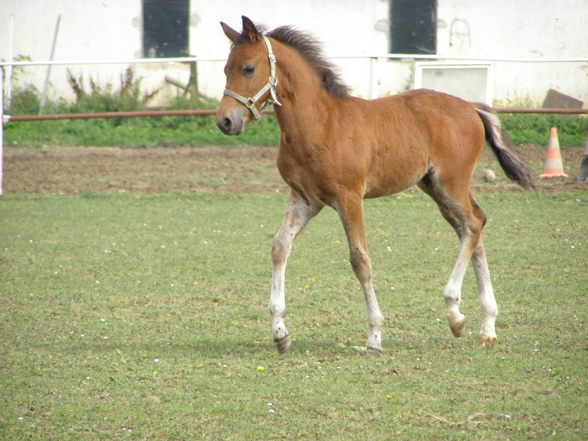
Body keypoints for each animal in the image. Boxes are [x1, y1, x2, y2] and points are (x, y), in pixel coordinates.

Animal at [215, 16, 532, 354]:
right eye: (226, 69)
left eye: (249, 68)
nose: (225, 121)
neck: (320, 124)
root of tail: (471, 107)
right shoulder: (304, 199)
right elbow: (279, 247)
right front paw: (280, 333)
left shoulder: (349, 197)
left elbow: (360, 260)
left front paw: (375, 337)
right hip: (434, 186)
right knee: (472, 226)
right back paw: (486, 326)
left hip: (450, 182)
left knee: (472, 224)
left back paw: (455, 313)